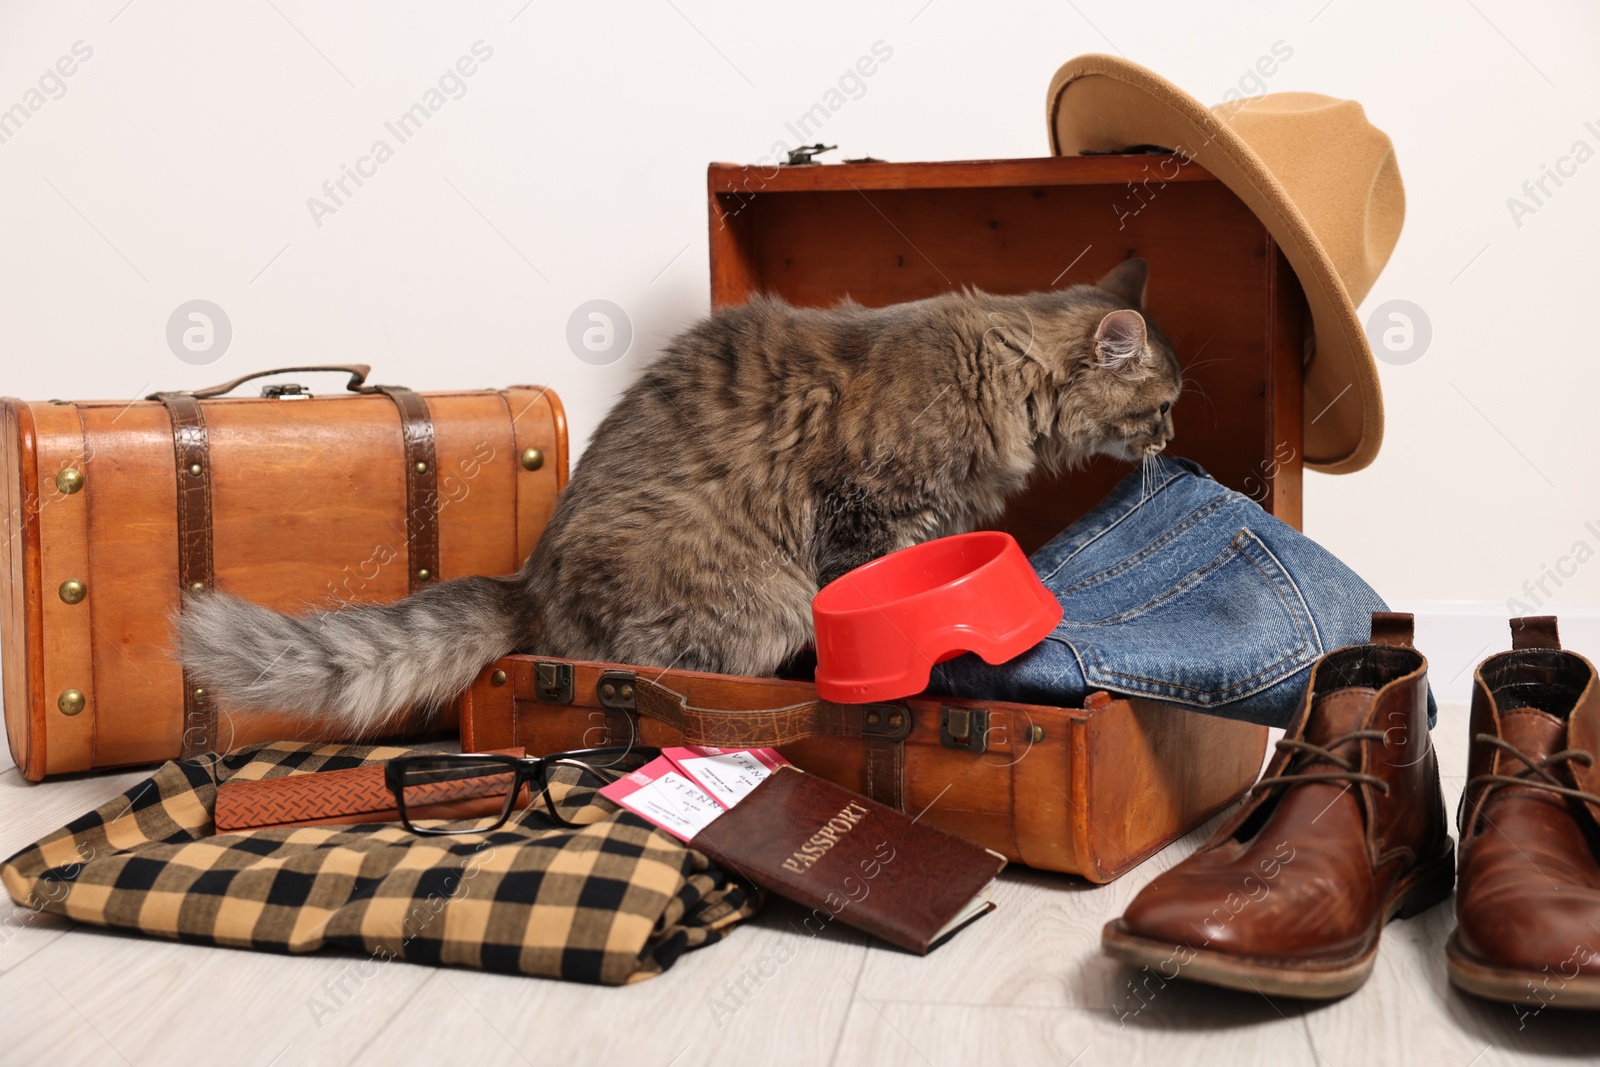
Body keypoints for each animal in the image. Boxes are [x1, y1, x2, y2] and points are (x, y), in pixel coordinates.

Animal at [178, 259, 1177, 735]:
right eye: (1163, 404)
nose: (1171, 440)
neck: (998, 371)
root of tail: (528, 578)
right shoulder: (863, 509)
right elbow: (872, 586)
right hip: (746, 595)